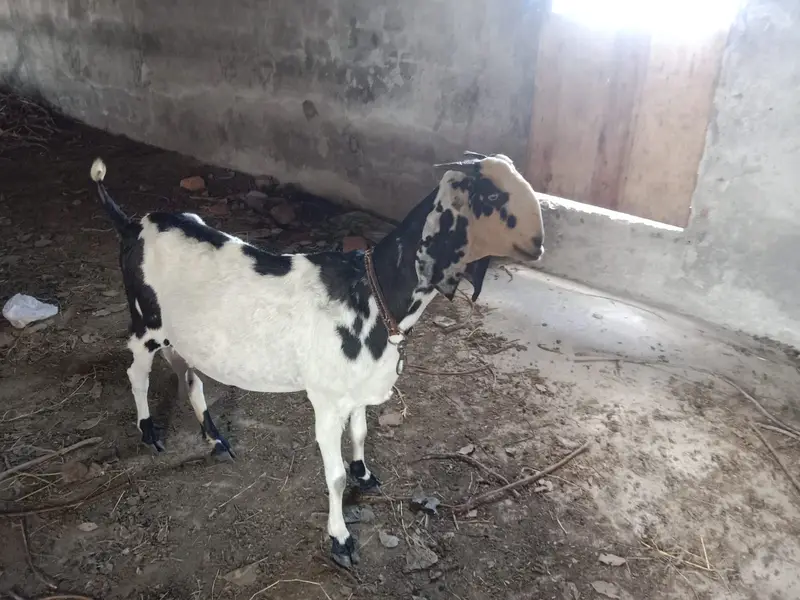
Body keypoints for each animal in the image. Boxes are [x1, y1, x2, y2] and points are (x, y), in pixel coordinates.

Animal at [89, 152, 544, 568]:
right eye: (490, 195)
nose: (539, 243)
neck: (371, 293)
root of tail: (133, 225)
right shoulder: (326, 400)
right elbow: (336, 476)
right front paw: (340, 538)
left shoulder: (357, 389)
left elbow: (360, 434)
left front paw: (365, 473)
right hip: (146, 323)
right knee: (136, 372)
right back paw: (150, 432)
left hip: (179, 334)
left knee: (188, 374)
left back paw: (215, 437)